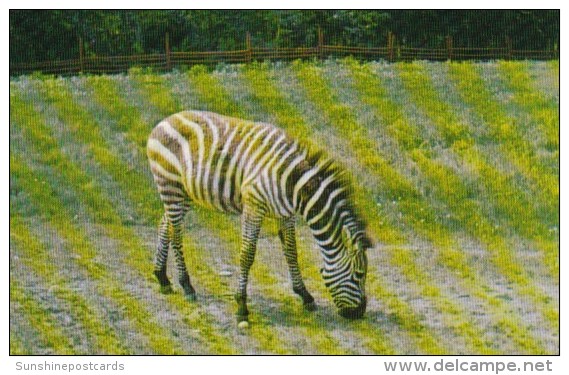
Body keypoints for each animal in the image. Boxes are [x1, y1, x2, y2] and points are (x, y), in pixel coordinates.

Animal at [146, 109, 370, 326]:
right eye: (359, 274)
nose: (360, 313)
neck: (294, 184)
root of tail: (163, 122)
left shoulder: (286, 214)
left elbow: (291, 252)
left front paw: (305, 295)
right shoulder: (254, 205)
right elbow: (247, 254)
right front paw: (242, 306)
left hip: (183, 192)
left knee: (165, 224)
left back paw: (162, 278)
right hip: (170, 184)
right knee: (176, 234)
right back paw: (186, 284)